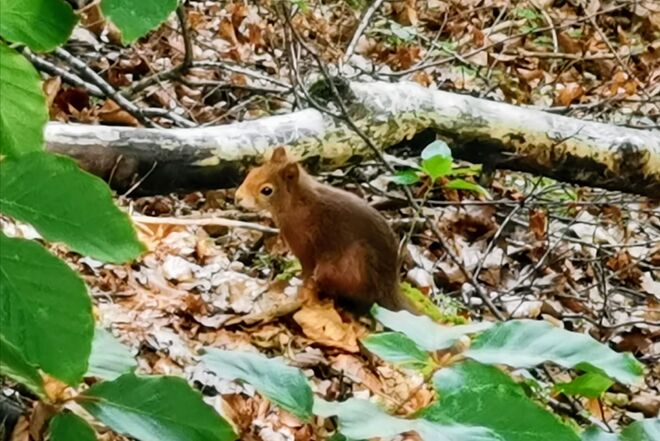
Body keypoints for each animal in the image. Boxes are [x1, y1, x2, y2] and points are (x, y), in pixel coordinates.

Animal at [235, 147, 416, 313]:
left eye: (267, 190)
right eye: (253, 172)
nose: (237, 197)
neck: (298, 202)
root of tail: (389, 289)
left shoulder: (303, 245)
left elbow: (307, 272)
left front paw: (298, 289)